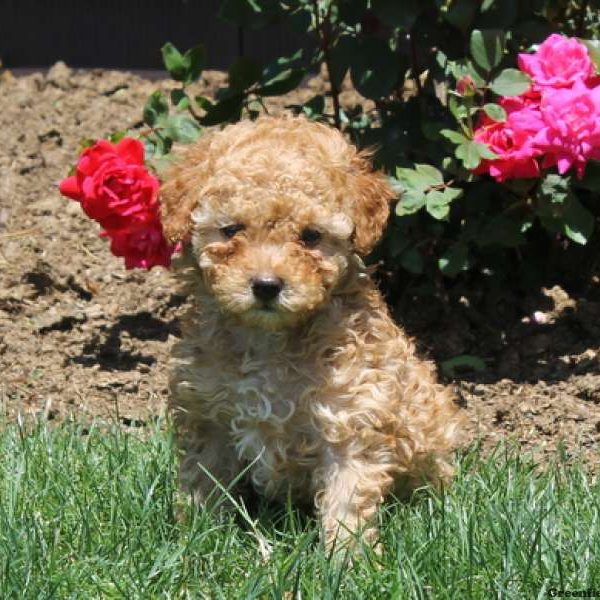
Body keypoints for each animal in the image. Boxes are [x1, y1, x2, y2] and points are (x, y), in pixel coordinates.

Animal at [159, 117, 464, 548]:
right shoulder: (207, 414)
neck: (269, 340)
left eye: (311, 236)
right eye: (231, 230)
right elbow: (203, 479)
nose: (266, 285)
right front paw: (196, 538)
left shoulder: (350, 420)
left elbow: (346, 501)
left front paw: (349, 557)